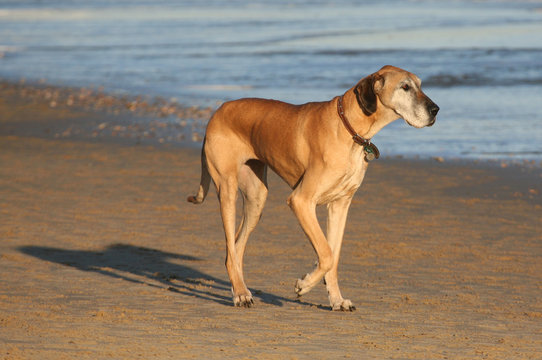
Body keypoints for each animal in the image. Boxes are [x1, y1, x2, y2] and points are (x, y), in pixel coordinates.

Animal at [189, 66, 440, 310]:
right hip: (228, 190)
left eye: (420, 85)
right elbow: (326, 254)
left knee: (236, 248)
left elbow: (333, 256)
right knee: (230, 249)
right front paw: (305, 284)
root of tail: (217, 112)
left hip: (256, 197)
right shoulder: (301, 201)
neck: (349, 127)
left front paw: (336, 299)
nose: (435, 110)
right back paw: (241, 294)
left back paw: (239, 289)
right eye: (405, 87)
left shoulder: (340, 205)